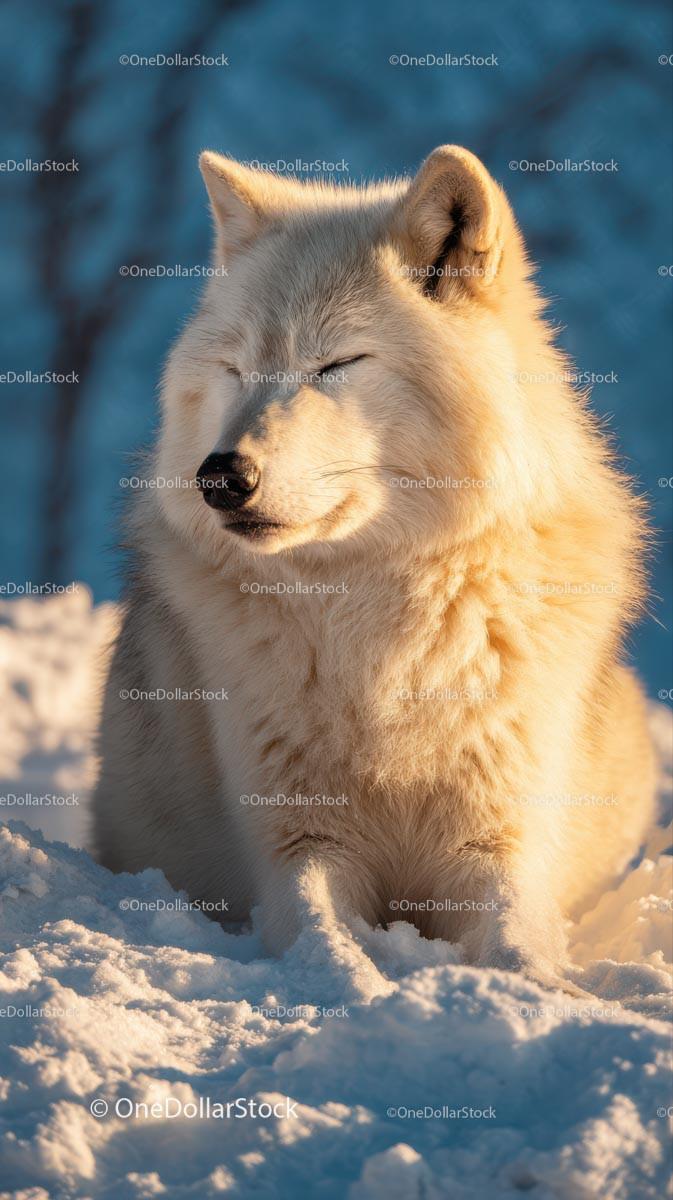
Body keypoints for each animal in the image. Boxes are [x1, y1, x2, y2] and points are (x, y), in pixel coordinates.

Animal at [92, 144, 656, 996]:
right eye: (235, 369)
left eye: (335, 364)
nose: (219, 476)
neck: (373, 615)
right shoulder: (296, 838)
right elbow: (322, 935)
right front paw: (351, 989)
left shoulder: (496, 837)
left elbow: (517, 935)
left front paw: (544, 994)